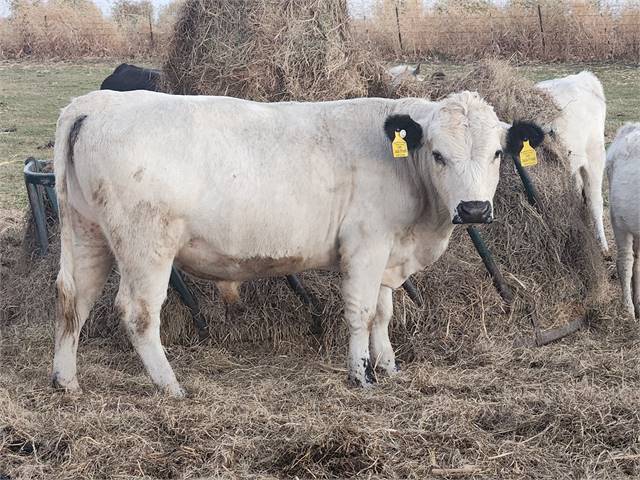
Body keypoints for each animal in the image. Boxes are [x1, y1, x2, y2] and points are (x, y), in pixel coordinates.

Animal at [50, 89, 544, 394]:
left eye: (497, 153)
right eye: (438, 155)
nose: (474, 210)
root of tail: (95, 102)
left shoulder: (388, 253)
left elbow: (384, 313)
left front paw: (388, 367)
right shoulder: (365, 245)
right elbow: (361, 313)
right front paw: (361, 375)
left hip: (86, 231)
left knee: (74, 299)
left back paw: (66, 380)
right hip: (146, 242)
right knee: (137, 312)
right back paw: (170, 385)